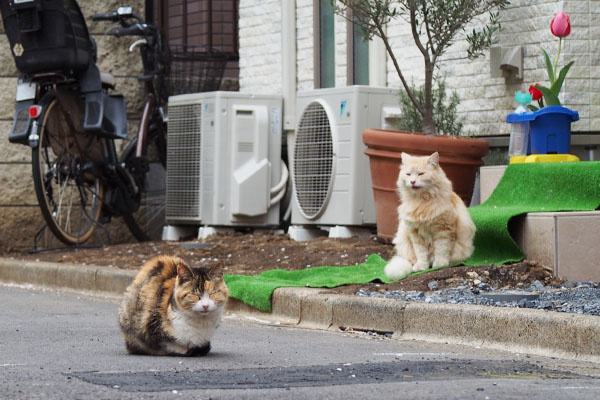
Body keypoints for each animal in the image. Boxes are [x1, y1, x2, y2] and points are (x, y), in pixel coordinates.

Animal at [384, 152, 478, 280]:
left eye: (421, 174)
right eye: (408, 174)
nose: (412, 181)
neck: (421, 201)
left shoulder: (443, 230)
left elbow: (441, 249)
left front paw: (440, 264)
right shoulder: (415, 233)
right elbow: (421, 253)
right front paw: (422, 266)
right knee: (411, 259)